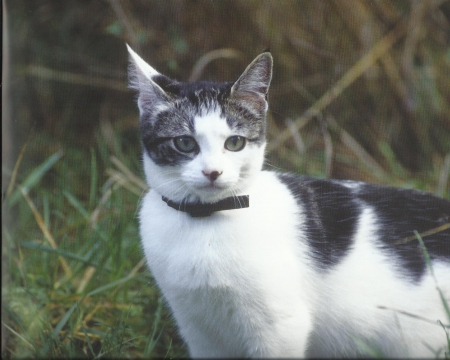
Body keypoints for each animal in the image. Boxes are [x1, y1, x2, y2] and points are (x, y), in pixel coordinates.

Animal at [126, 44, 450, 358]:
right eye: (184, 143)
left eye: (235, 142)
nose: (212, 172)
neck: (206, 222)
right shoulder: (199, 331)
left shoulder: (281, 327)